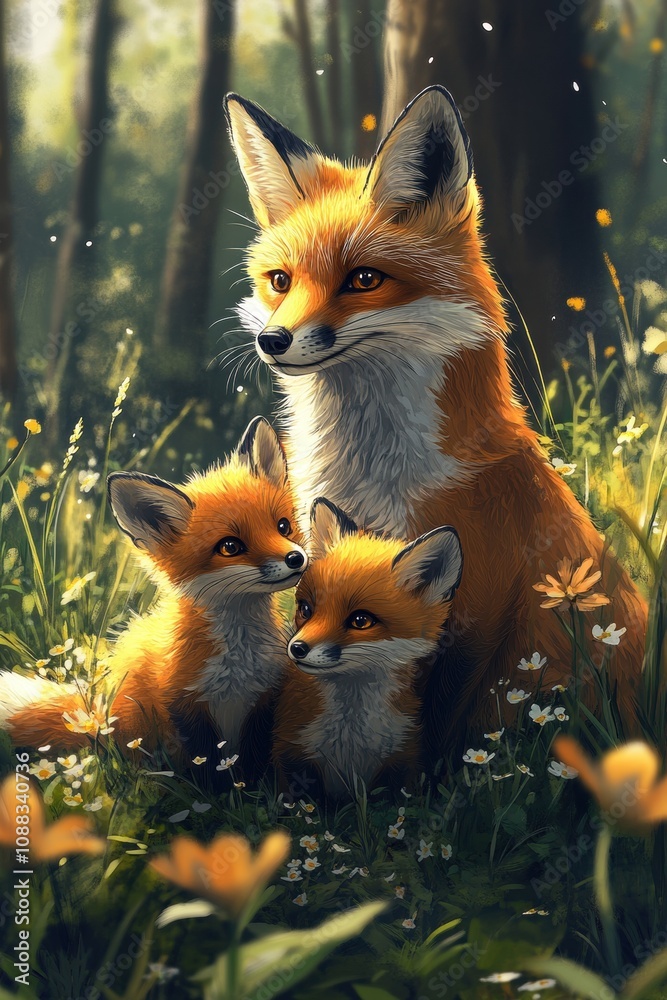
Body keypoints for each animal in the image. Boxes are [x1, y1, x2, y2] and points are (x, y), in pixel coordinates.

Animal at [0, 418, 308, 773]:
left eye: (283, 526)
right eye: (230, 546)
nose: (296, 559)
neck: (238, 659)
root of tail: (96, 715)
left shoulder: (264, 698)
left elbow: (256, 762)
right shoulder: (183, 704)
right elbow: (208, 765)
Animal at [224, 86, 647, 751]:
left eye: (364, 278)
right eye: (280, 281)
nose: (273, 340)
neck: (370, 476)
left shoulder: (473, 603)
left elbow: (445, 718)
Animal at [273, 498, 463, 799]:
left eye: (361, 620)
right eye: (306, 609)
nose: (298, 648)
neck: (350, 739)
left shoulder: (403, 760)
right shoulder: (291, 753)